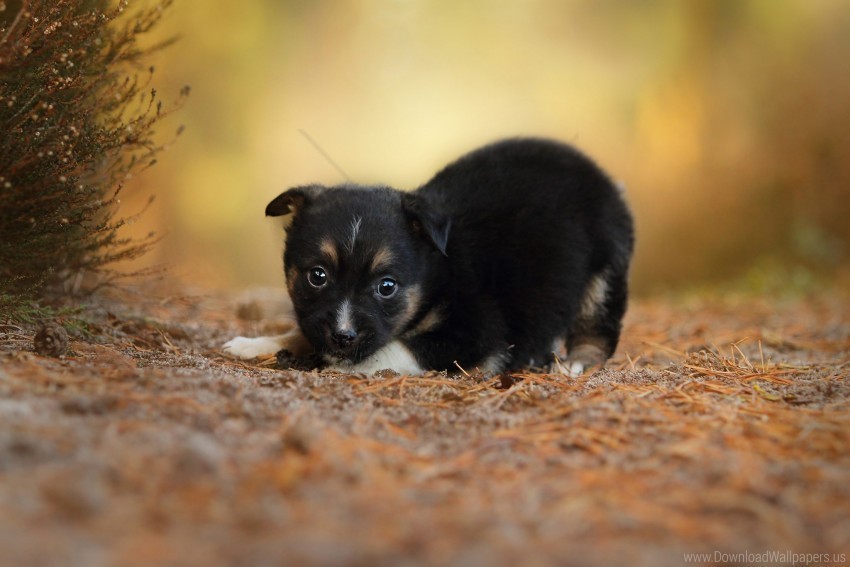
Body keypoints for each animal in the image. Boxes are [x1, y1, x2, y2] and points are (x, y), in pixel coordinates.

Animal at [222, 138, 632, 378]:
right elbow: (301, 331)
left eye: (387, 287)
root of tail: (602, 176)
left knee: (598, 329)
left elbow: (393, 349)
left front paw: (330, 363)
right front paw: (255, 344)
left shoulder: (474, 331)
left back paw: (577, 362)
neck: (437, 273)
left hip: (605, 271)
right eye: (317, 276)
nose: (342, 336)